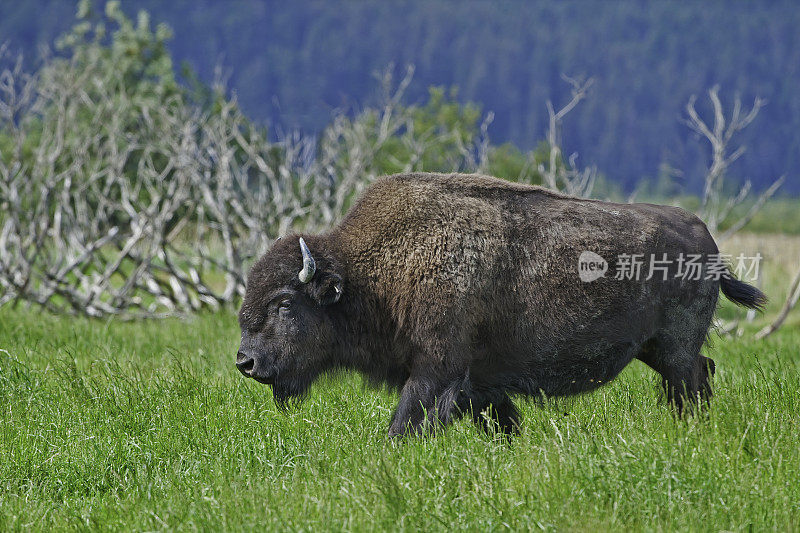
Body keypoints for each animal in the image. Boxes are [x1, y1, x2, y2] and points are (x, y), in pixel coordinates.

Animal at [234, 172, 764, 434]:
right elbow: (501, 421)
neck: (372, 274)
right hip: (654, 349)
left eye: (285, 303)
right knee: (701, 372)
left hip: (673, 349)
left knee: (690, 382)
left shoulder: (434, 371)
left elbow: (406, 423)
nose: (245, 362)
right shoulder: (480, 383)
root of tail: (706, 238)